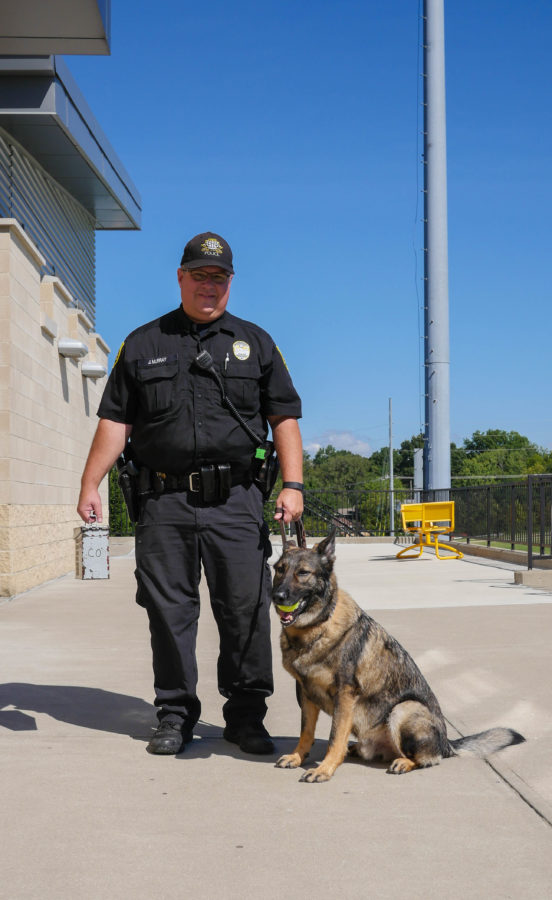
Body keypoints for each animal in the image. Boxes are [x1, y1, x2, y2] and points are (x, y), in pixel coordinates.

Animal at [274, 532, 524, 784]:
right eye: (279, 569)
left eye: (303, 572)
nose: (277, 596)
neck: (316, 628)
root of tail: (447, 744)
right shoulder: (305, 692)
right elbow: (306, 731)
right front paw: (297, 757)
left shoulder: (344, 695)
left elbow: (335, 737)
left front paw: (324, 769)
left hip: (403, 709)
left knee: (427, 759)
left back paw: (404, 762)